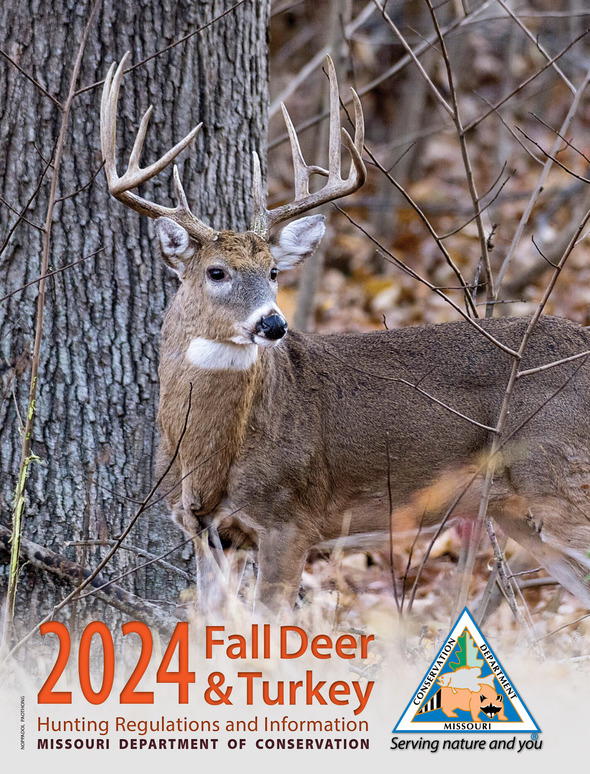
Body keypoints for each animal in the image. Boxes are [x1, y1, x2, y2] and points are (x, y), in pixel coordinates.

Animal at [101, 53, 590, 614]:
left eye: (274, 271)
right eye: (216, 272)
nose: (274, 324)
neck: (209, 456)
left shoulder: (291, 519)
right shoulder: (209, 533)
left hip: (565, 482)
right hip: (519, 512)